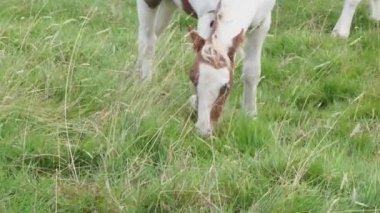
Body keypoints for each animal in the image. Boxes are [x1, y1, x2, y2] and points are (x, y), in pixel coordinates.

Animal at [135, 0, 274, 136]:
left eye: (225, 88)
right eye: (193, 80)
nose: (203, 131)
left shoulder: (262, 25)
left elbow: (252, 72)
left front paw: (250, 114)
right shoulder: (206, 19)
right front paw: (194, 104)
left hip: (168, 5)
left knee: (154, 34)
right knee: (147, 41)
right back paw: (144, 83)